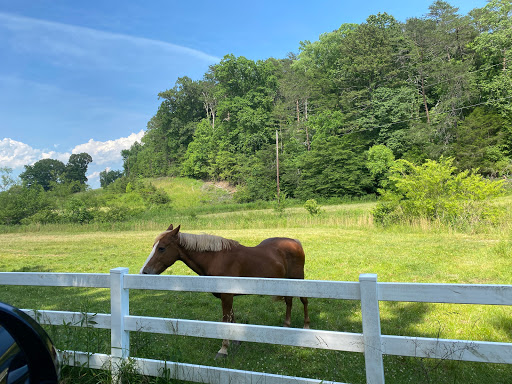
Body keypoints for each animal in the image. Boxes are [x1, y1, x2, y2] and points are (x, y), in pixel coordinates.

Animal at [138, 224, 310, 358]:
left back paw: (306, 328)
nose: (144, 272)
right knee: (289, 301)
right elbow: (232, 317)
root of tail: (295, 242)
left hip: (298, 280)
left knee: (304, 301)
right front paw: (236, 341)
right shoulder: (227, 297)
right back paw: (286, 326)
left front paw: (223, 349)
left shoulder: (227, 296)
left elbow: (225, 320)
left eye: (161, 248)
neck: (215, 258)